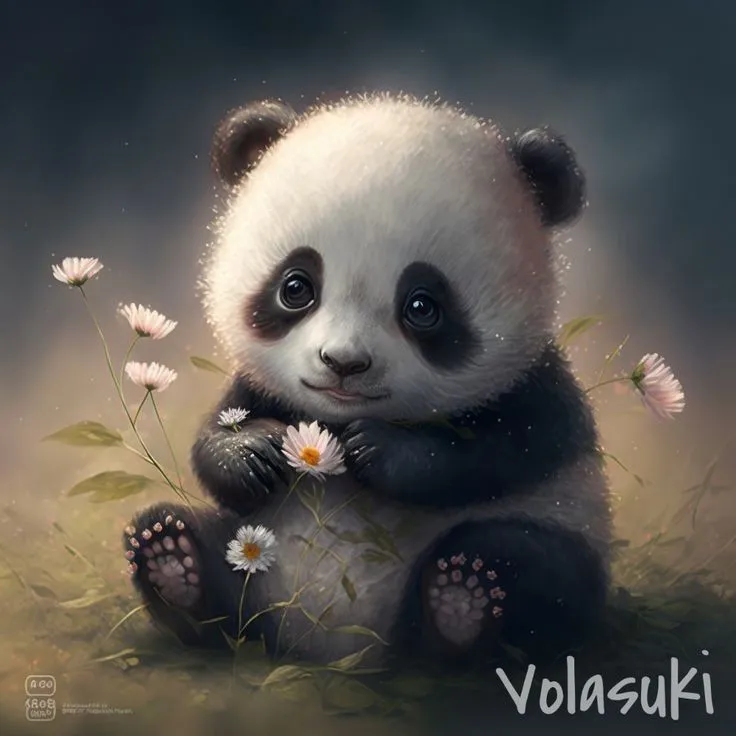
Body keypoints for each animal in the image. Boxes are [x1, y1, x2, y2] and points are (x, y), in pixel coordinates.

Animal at [123, 93, 611, 668]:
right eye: (296, 287)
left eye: (422, 306)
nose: (343, 362)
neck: (335, 420)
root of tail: (329, 646)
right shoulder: (265, 390)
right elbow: (217, 435)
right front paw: (252, 452)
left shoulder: (534, 383)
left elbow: (507, 448)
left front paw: (379, 450)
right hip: (252, 552)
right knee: (196, 547)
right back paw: (173, 562)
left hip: (556, 534)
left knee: (536, 569)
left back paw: (462, 601)